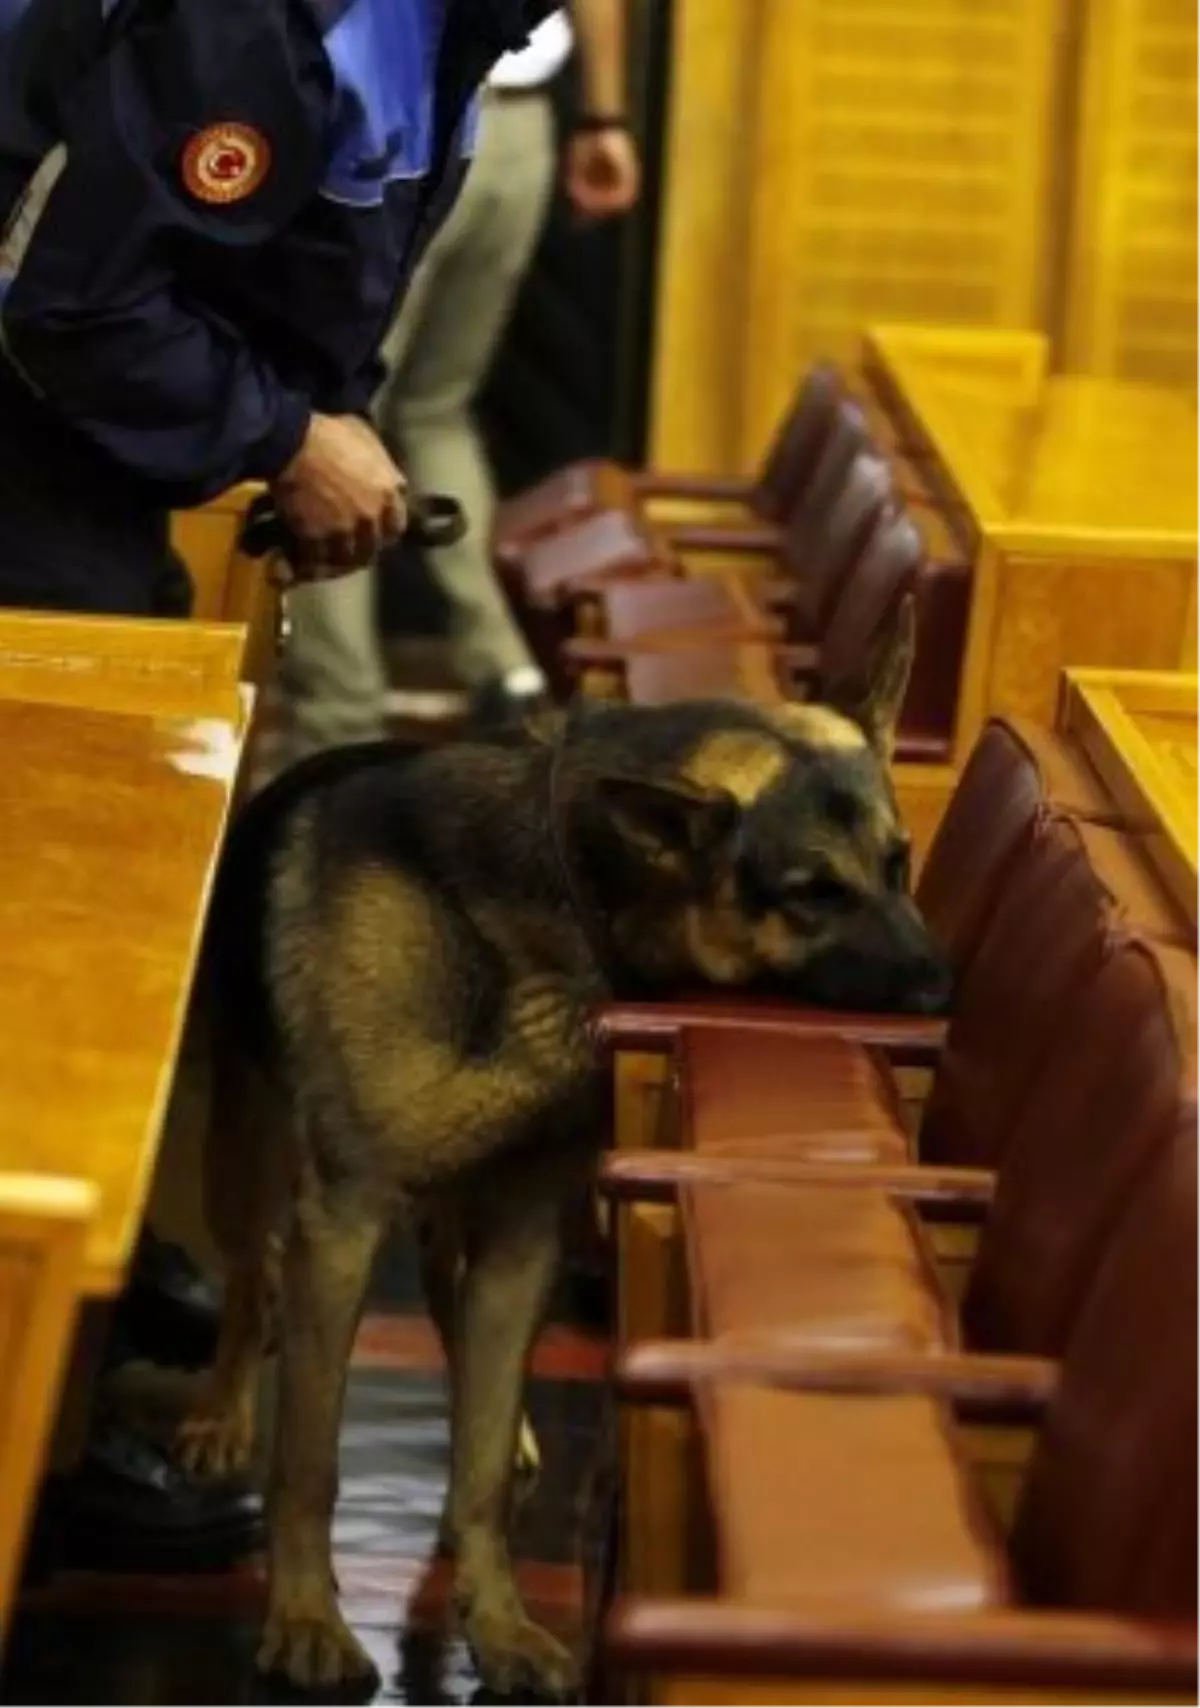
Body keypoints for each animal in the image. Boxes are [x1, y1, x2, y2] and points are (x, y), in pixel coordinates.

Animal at [175, 601, 949, 1694]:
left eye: (897, 863)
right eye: (812, 891)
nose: (941, 993)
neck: (557, 893)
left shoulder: (525, 1233)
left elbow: (484, 1473)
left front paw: (497, 1621)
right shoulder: (345, 1223)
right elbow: (311, 1462)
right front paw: (305, 1618)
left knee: (446, 1305)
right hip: (245, 1165)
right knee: (253, 1278)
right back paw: (223, 1413)